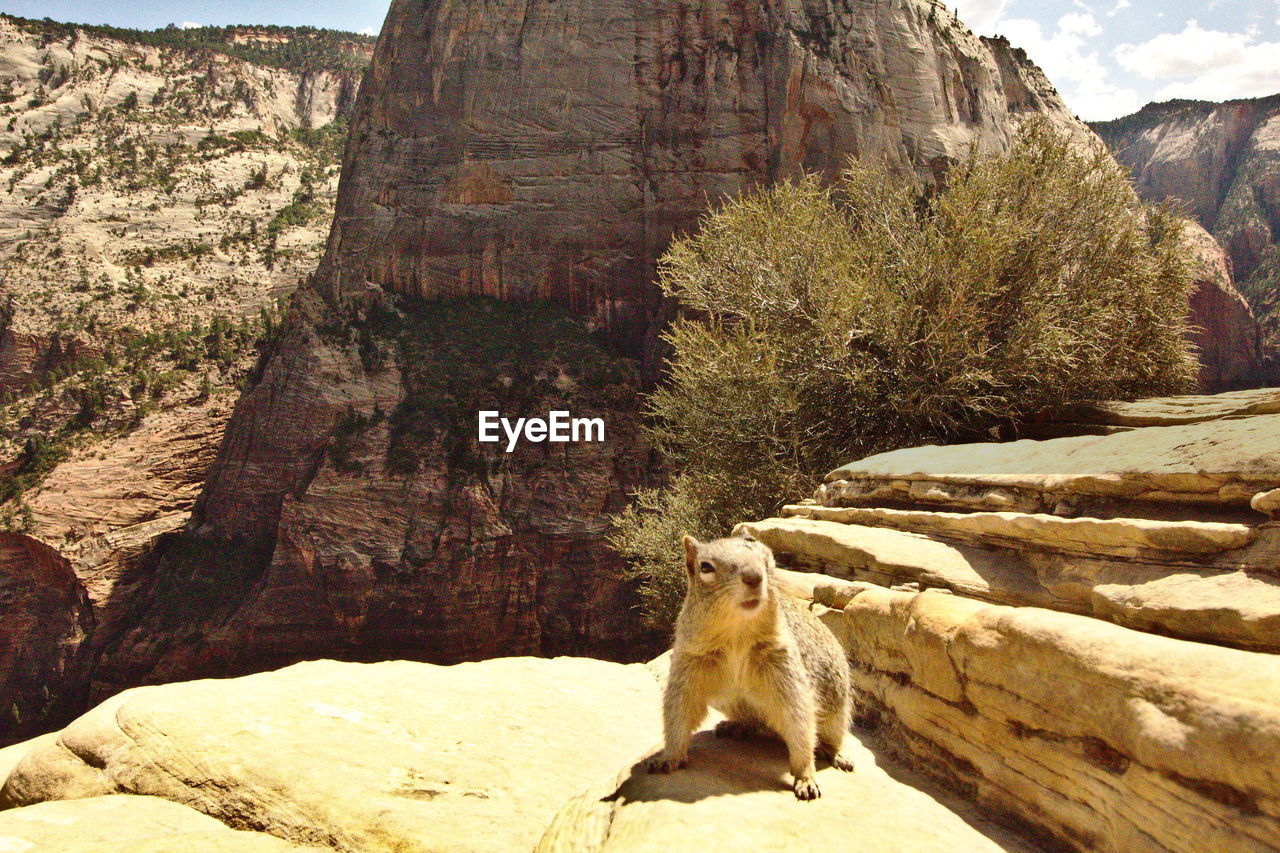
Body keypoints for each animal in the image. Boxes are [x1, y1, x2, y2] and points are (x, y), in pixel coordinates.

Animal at [645, 532, 855, 799]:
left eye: (769, 560)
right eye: (706, 567)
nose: (754, 576)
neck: (736, 636)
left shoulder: (786, 672)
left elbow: (799, 722)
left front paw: (806, 777)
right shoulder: (688, 666)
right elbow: (679, 714)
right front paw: (668, 757)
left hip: (837, 710)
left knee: (830, 736)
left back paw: (838, 755)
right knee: (754, 724)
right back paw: (735, 726)